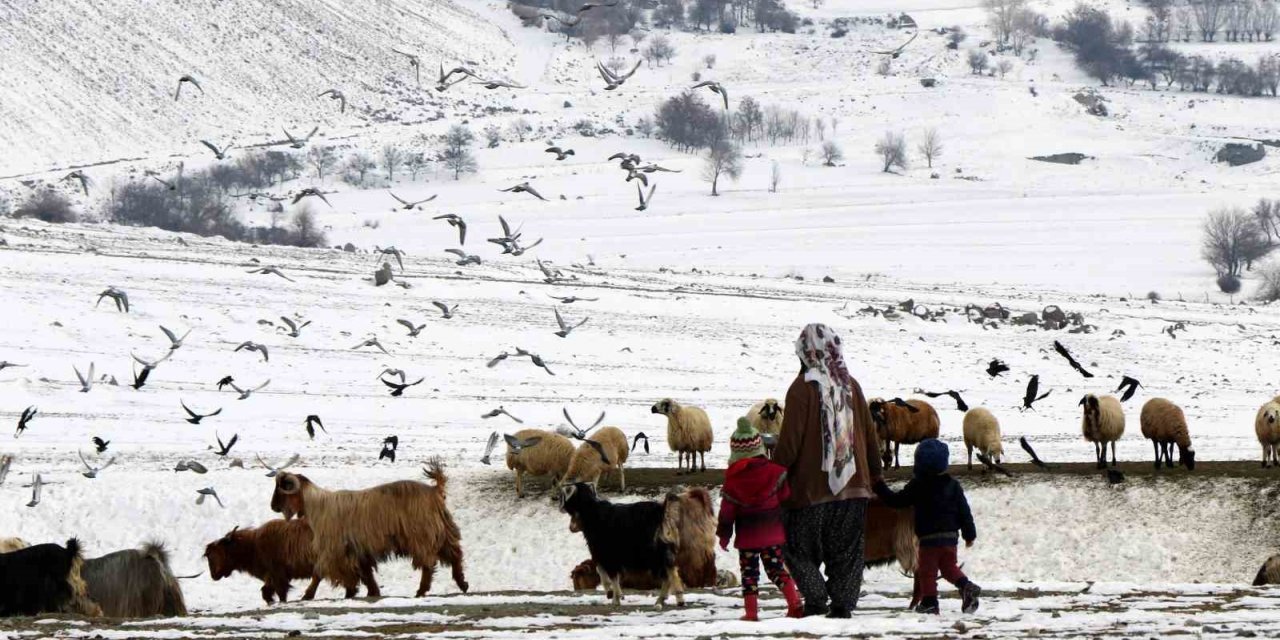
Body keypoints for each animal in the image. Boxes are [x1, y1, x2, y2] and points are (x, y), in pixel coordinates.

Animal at [207, 519, 376, 604]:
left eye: (215, 553)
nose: (213, 575)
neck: (253, 546)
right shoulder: (272, 575)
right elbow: (266, 591)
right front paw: (271, 601)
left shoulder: (277, 573)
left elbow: (280, 591)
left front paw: (280, 602)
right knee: (365, 576)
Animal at [271, 460, 471, 599]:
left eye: (282, 489)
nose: (273, 506)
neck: (318, 506)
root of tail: (435, 490)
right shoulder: (358, 550)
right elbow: (366, 575)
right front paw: (372, 593)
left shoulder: (333, 549)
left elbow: (318, 573)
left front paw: (307, 595)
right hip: (442, 532)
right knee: (455, 555)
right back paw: (463, 584)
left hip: (422, 535)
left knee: (429, 563)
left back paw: (421, 591)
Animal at [558, 481, 686, 606]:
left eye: (564, 495)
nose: (560, 508)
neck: (592, 512)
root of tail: (661, 512)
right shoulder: (604, 555)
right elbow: (606, 572)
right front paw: (616, 595)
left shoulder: (605, 553)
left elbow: (609, 575)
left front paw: (614, 597)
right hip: (666, 550)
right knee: (672, 572)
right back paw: (674, 599)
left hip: (653, 554)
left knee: (666, 575)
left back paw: (663, 600)